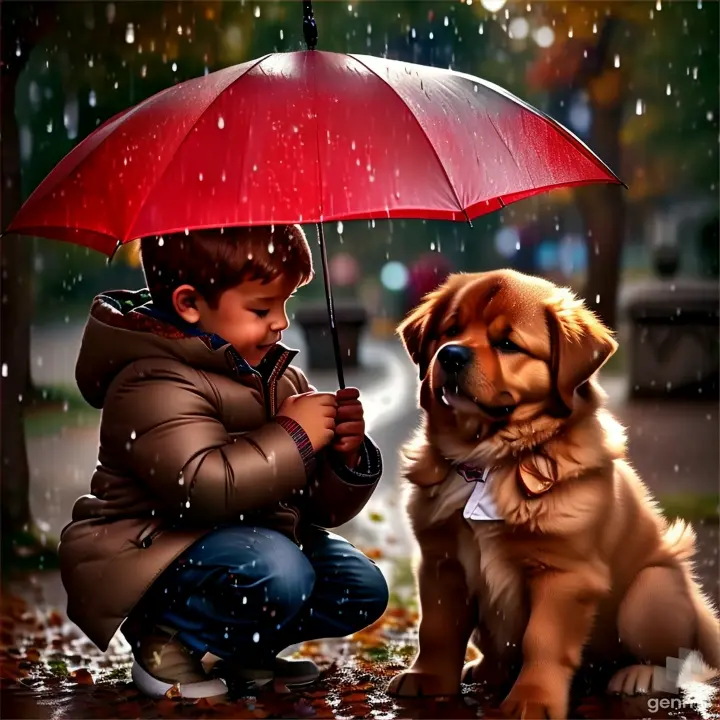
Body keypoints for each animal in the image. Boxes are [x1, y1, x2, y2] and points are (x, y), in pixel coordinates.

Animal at [388, 272, 720, 720]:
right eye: (449, 330)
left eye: (507, 343)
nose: (451, 355)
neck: (489, 459)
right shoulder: (442, 563)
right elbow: (437, 629)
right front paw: (429, 679)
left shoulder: (565, 575)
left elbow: (541, 642)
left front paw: (533, 699)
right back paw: (485, 669)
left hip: (649, 590)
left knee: (668, 659)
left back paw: (638, 675)